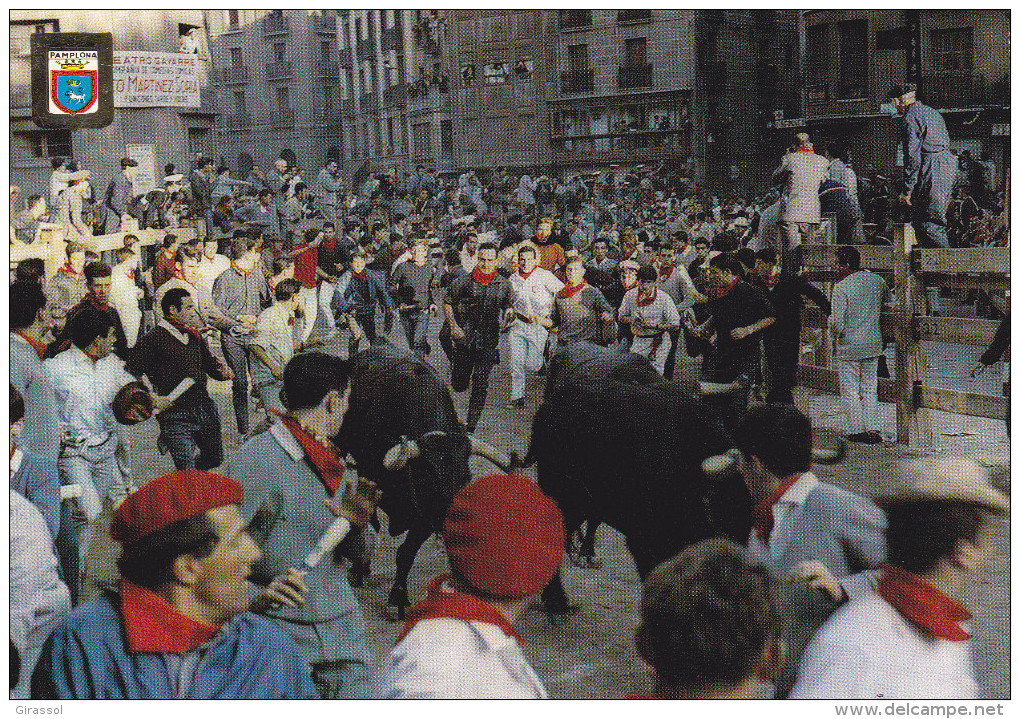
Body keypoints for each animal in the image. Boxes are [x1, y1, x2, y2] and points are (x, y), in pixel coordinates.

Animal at [530, 342, 754, 611]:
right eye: (722, 523)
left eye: (746, 527)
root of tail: (547, 410)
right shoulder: (644, 541)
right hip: (558, 490)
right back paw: (557, 597)